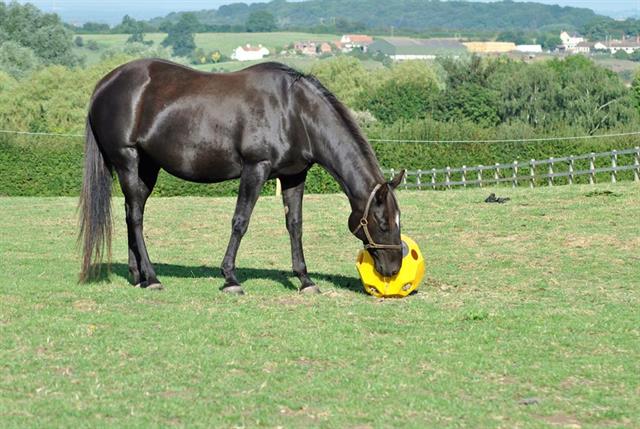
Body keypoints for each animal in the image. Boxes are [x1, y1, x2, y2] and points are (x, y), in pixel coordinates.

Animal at [80, 58, 404, 292]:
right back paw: (153, 277)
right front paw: (230, 278)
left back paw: (138, 276)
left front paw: (305, 280)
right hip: (128, 160)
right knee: (135, 216)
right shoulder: (255, 168)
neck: (294, 111)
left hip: (147, 169)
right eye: (382, 223)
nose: (393, 269)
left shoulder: (294, 176)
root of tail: (104, 84)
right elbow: (240, 222)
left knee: (131, 213)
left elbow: (295, 225)